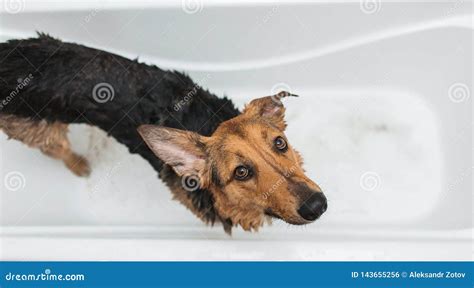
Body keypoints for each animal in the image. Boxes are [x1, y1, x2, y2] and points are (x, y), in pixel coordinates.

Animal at [0, 33, 326, 234]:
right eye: (241, 172)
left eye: (280, 143)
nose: (317, 206)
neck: (209, 122)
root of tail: (8, 56)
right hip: (37, 130)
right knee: (57, 149)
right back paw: (80, 164)